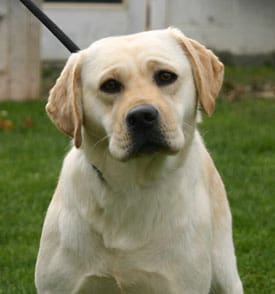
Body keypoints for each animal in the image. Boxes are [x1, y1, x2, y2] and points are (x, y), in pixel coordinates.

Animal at [34, 27, 244, 292]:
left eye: (165, 76)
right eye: (110, 85)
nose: (142, 116)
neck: (132, 187)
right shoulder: (58, 285)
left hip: (225, 273)